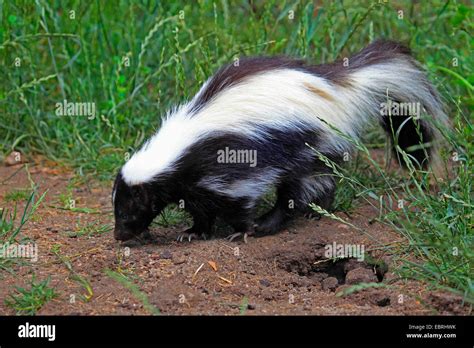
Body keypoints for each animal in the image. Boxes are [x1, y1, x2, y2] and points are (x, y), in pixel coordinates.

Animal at [113, 40, 446, 242]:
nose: (119, 235)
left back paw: (275, 222)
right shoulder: (196, 184)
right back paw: (317, 210)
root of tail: (339, 88)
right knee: (320, 182)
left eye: (128, 211)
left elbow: (238, 203)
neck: (176, 149)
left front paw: (242, 231)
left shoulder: (227, 168)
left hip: (308, 144)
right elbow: (200, 209)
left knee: (300, 190)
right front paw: (194, 232)